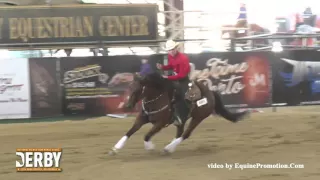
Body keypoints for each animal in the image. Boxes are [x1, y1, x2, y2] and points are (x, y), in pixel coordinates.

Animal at [109, 73, 249, 155]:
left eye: (138, 89)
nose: (127, 106)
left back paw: (168, 148)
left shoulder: (160, 123)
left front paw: (150, 147)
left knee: (186, 134)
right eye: (129, 86)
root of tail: (211, 93)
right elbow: (130, 131)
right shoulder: (141, 119)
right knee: (180, 132)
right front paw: (115, 148)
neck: (158, 98)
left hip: (198, 118)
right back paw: (170, 147)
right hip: (183, 119)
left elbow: (147, 135)